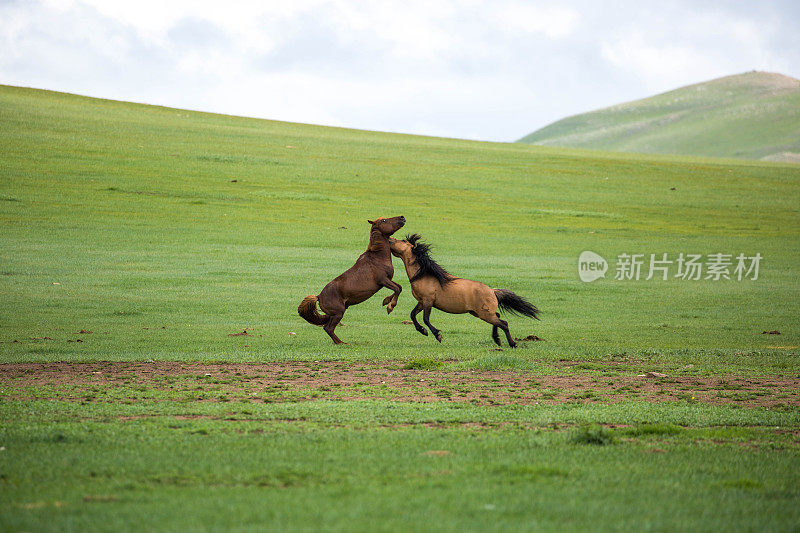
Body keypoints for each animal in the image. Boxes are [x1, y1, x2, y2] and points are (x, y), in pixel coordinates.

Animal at [296, 216, 404, 344]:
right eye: (384, 221)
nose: (402, 218)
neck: (377, 257)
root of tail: (318, 297)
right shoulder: (383, 280)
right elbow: (397, 289)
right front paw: (390, 307)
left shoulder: (387, 280)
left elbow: (399, 287)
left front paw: (386, 301)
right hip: (338, 313)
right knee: (328, 328)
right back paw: (342, 343)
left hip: (334, 314)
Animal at [388, 235, 536, 348]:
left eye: (403, 241)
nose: (389, 239)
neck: (424, 275)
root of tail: (492, 291)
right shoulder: (421, 302)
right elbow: (413, 315)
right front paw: (423, 331)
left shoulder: (428, 301)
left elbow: (425, 318)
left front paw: (437, 335)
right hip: (479, 313)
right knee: (498, 317)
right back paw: (497, 339)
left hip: (484, 314)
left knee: (504, 323)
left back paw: (512, 344)